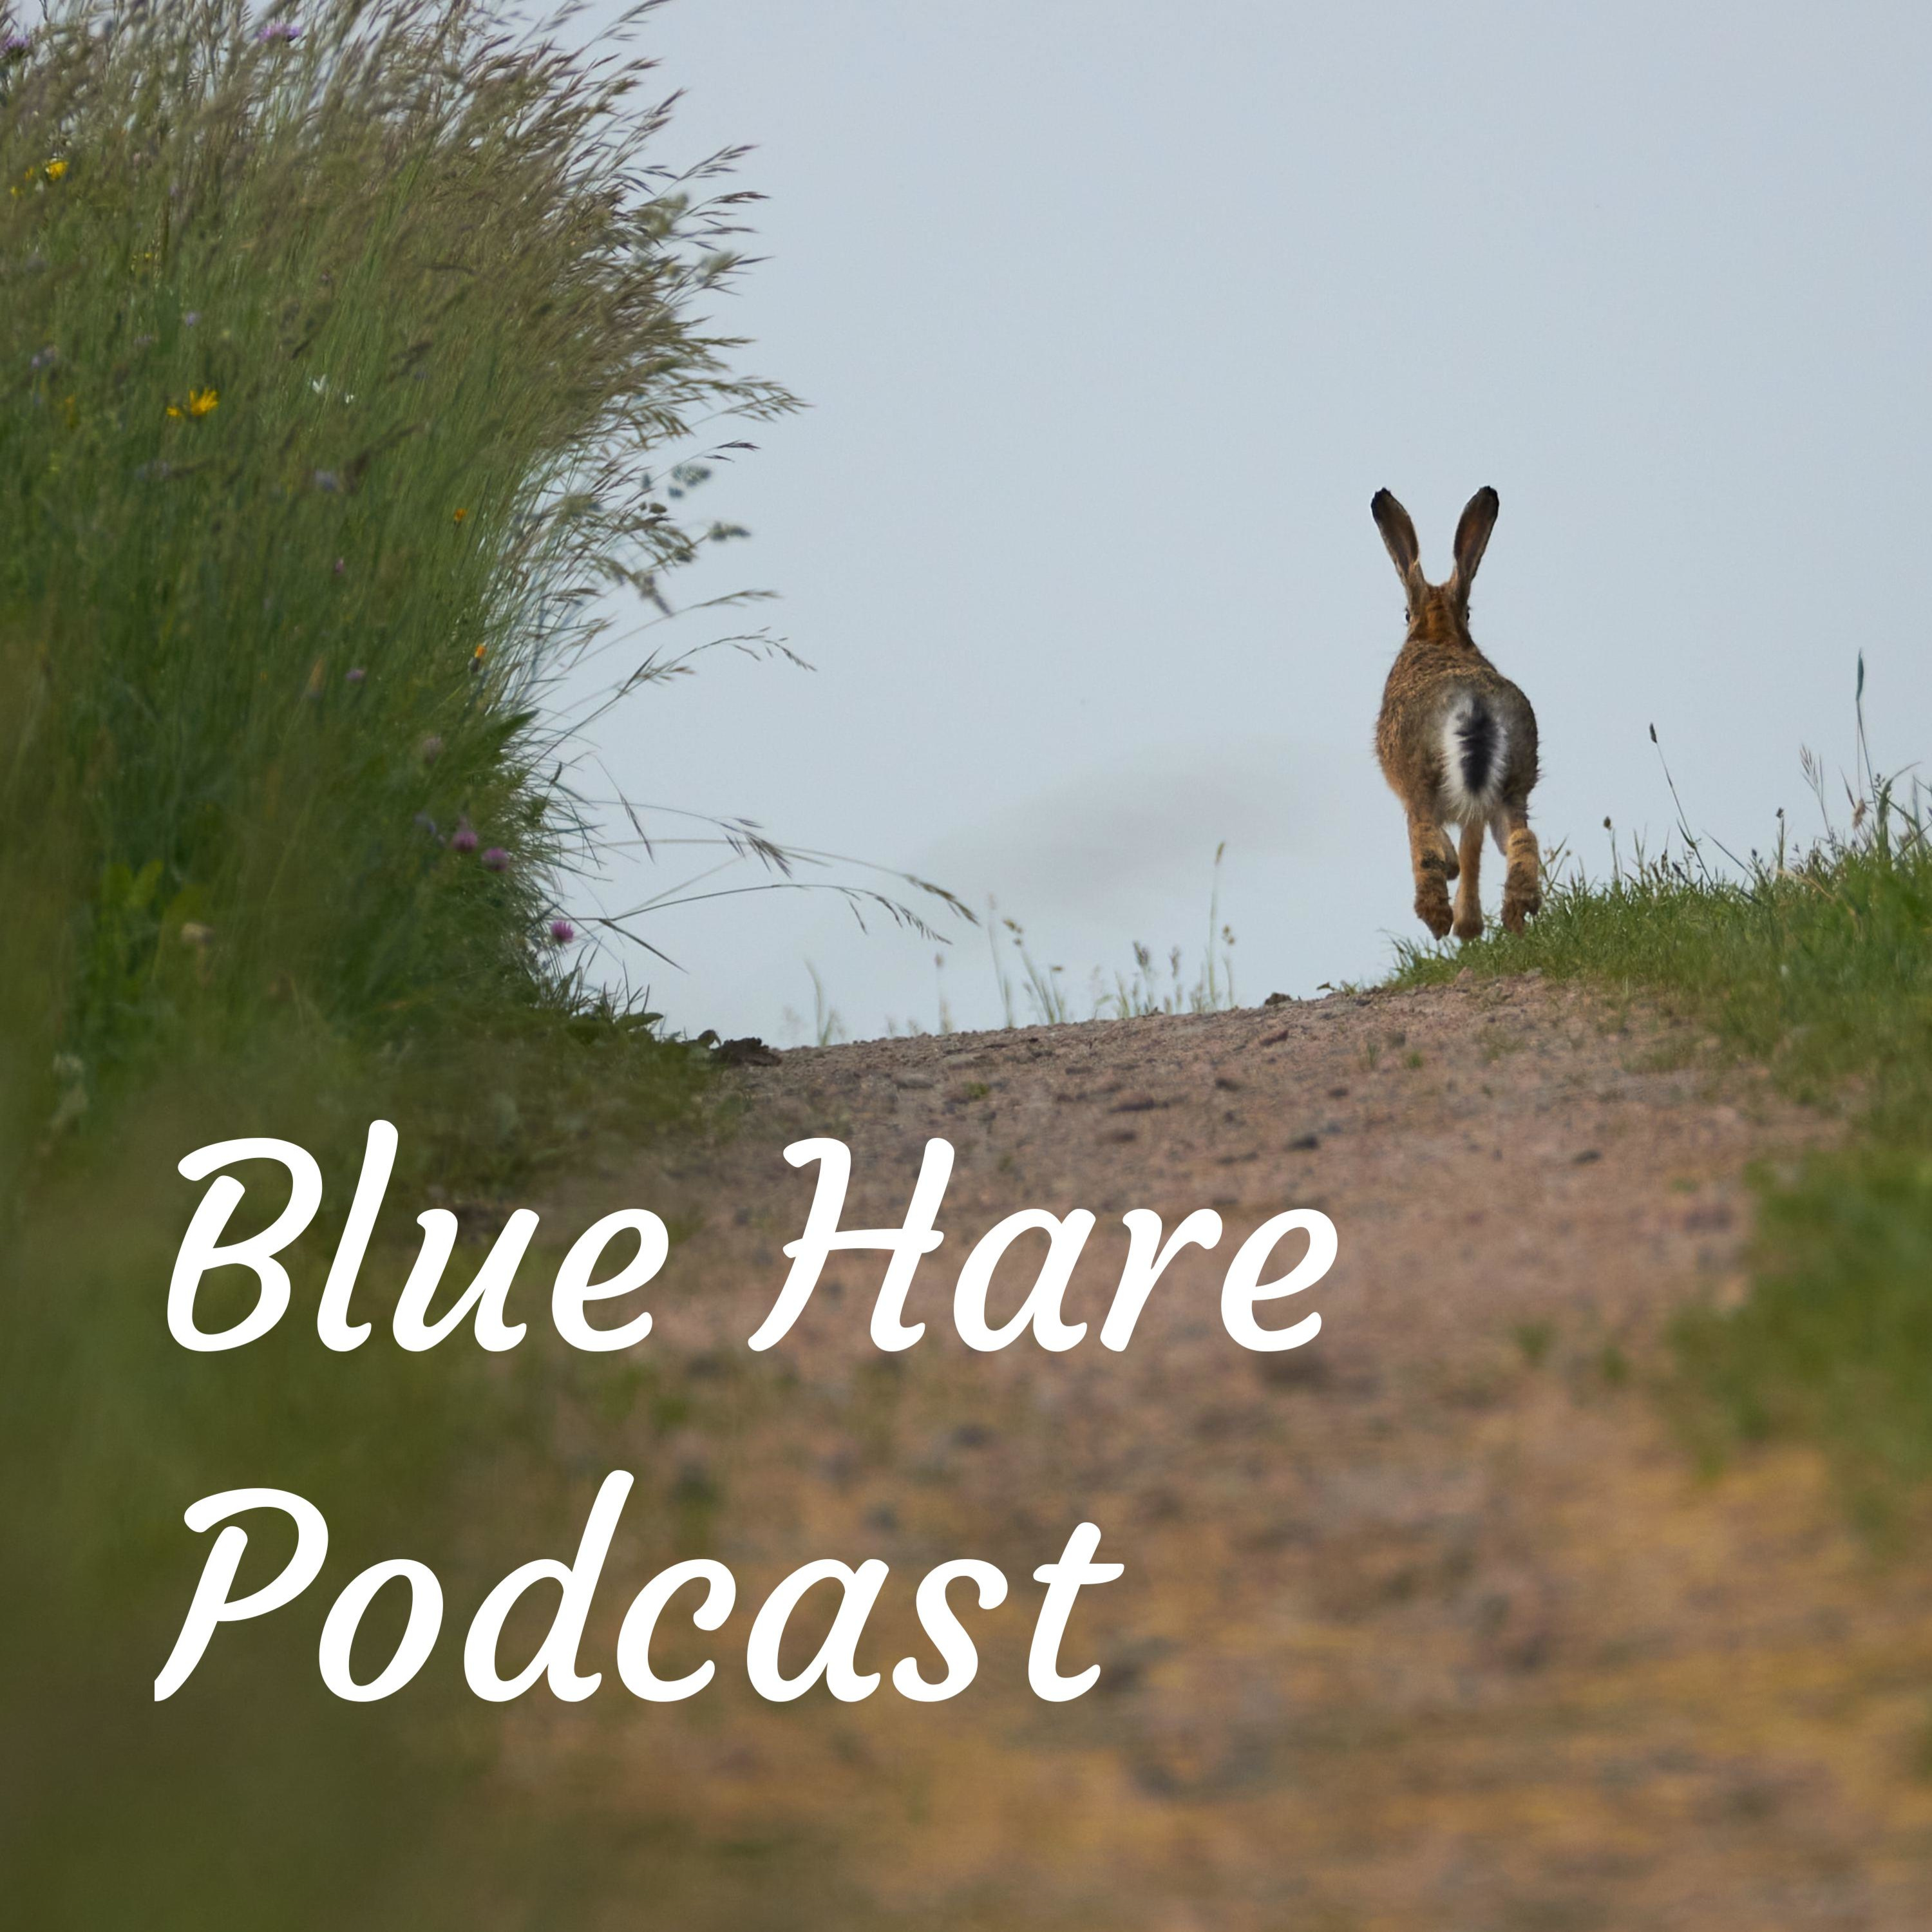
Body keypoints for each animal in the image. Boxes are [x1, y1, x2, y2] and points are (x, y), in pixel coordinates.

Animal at [1370, 486, 1541, 942]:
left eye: (1405, 614)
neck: (1440, 636)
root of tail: (1474, 706)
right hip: (1514, 782)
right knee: (1521, 840)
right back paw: (1512, 915)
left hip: (1422, 782)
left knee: (1425, 843)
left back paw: (1441, 917)